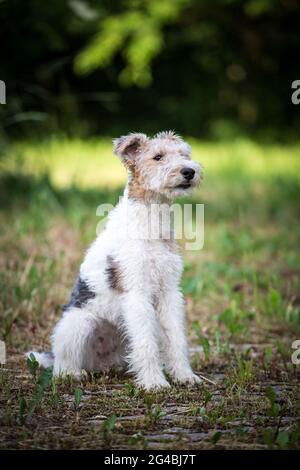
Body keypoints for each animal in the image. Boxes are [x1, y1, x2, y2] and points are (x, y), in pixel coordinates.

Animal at [28, 131, 203, 390]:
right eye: (157, 156)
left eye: (184, 154)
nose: (189, 171)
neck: (151, 221)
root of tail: (101, 362)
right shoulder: (136, 291)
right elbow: (146, 343)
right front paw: (154, 383)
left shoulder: (169, 290)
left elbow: (176, 339)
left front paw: (185, 376)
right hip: (79, 324)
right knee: (62, 364)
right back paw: (73, 374)